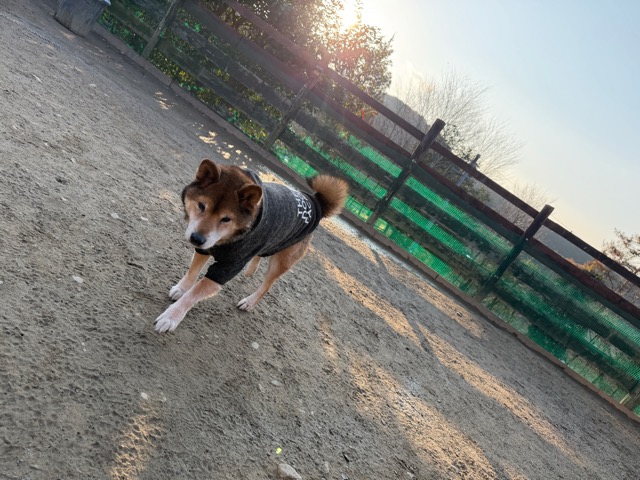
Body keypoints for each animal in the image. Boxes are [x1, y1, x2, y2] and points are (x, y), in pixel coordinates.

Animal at [154, 159, 348, 333]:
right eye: (201, 205)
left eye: (226, 219)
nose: (197, 238)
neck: (227, 239)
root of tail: (316, 203)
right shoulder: (206, 247)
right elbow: (192, 272)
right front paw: (181, 288)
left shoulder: (226, 268)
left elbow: (194, 293)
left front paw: (171, 316)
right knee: (260, 253)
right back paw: (250, 269)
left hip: (281, 261)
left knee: (266, 286)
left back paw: (249, 301)